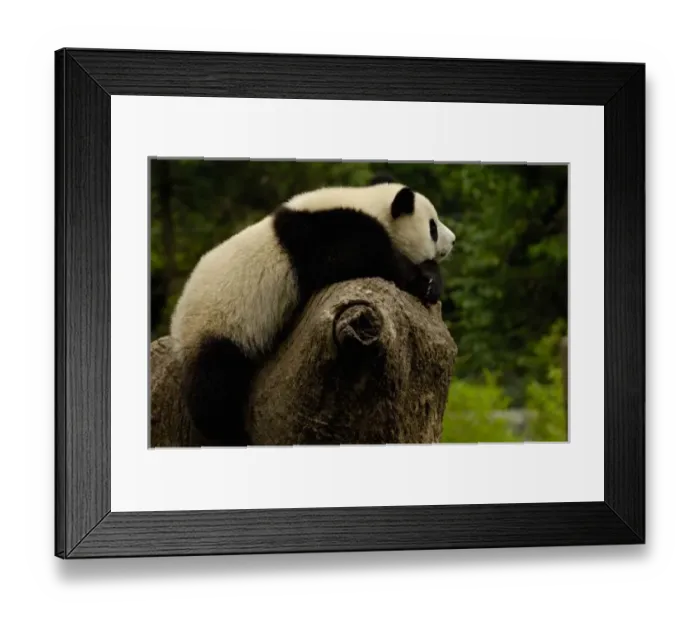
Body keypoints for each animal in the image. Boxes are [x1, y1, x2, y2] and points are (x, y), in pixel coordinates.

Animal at [169, 175, 456, 445]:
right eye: (432, 226)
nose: (453, 240)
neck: (371, 204)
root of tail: (177, 329)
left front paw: (431, 279)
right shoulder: (321, 234)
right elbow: (363, 257)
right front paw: (423, 280)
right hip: (218, 327)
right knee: (214, 388)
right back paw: (231, 433)